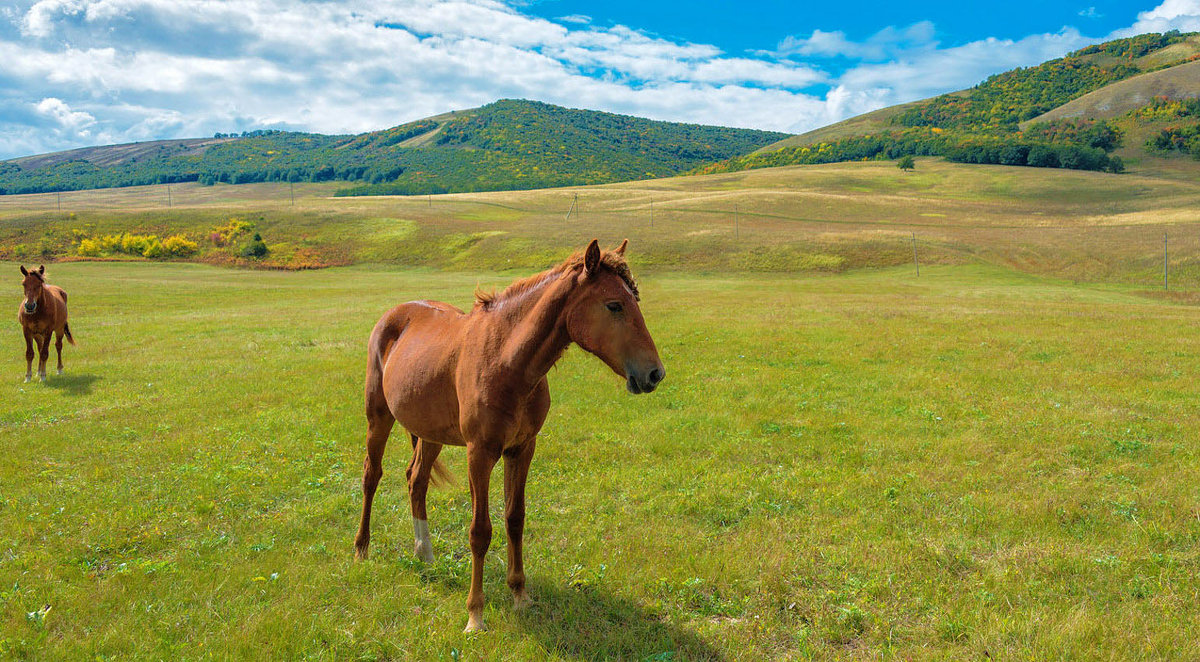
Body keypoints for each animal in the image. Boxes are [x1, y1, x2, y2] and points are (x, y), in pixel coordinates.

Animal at [355, 237, 667, 633]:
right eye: (614, 305)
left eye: (635, 300)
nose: (655, 373)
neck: (505, 361)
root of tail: (395, 313)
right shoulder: (480, 453)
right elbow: (480, 531)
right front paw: (475, 614)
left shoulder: (521, 449)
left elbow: (514, 519)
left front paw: (520, 595)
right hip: (378, 417)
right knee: (372, 476)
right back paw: (361, 549)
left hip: (430, 433)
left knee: (417, 480)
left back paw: (424, 554)